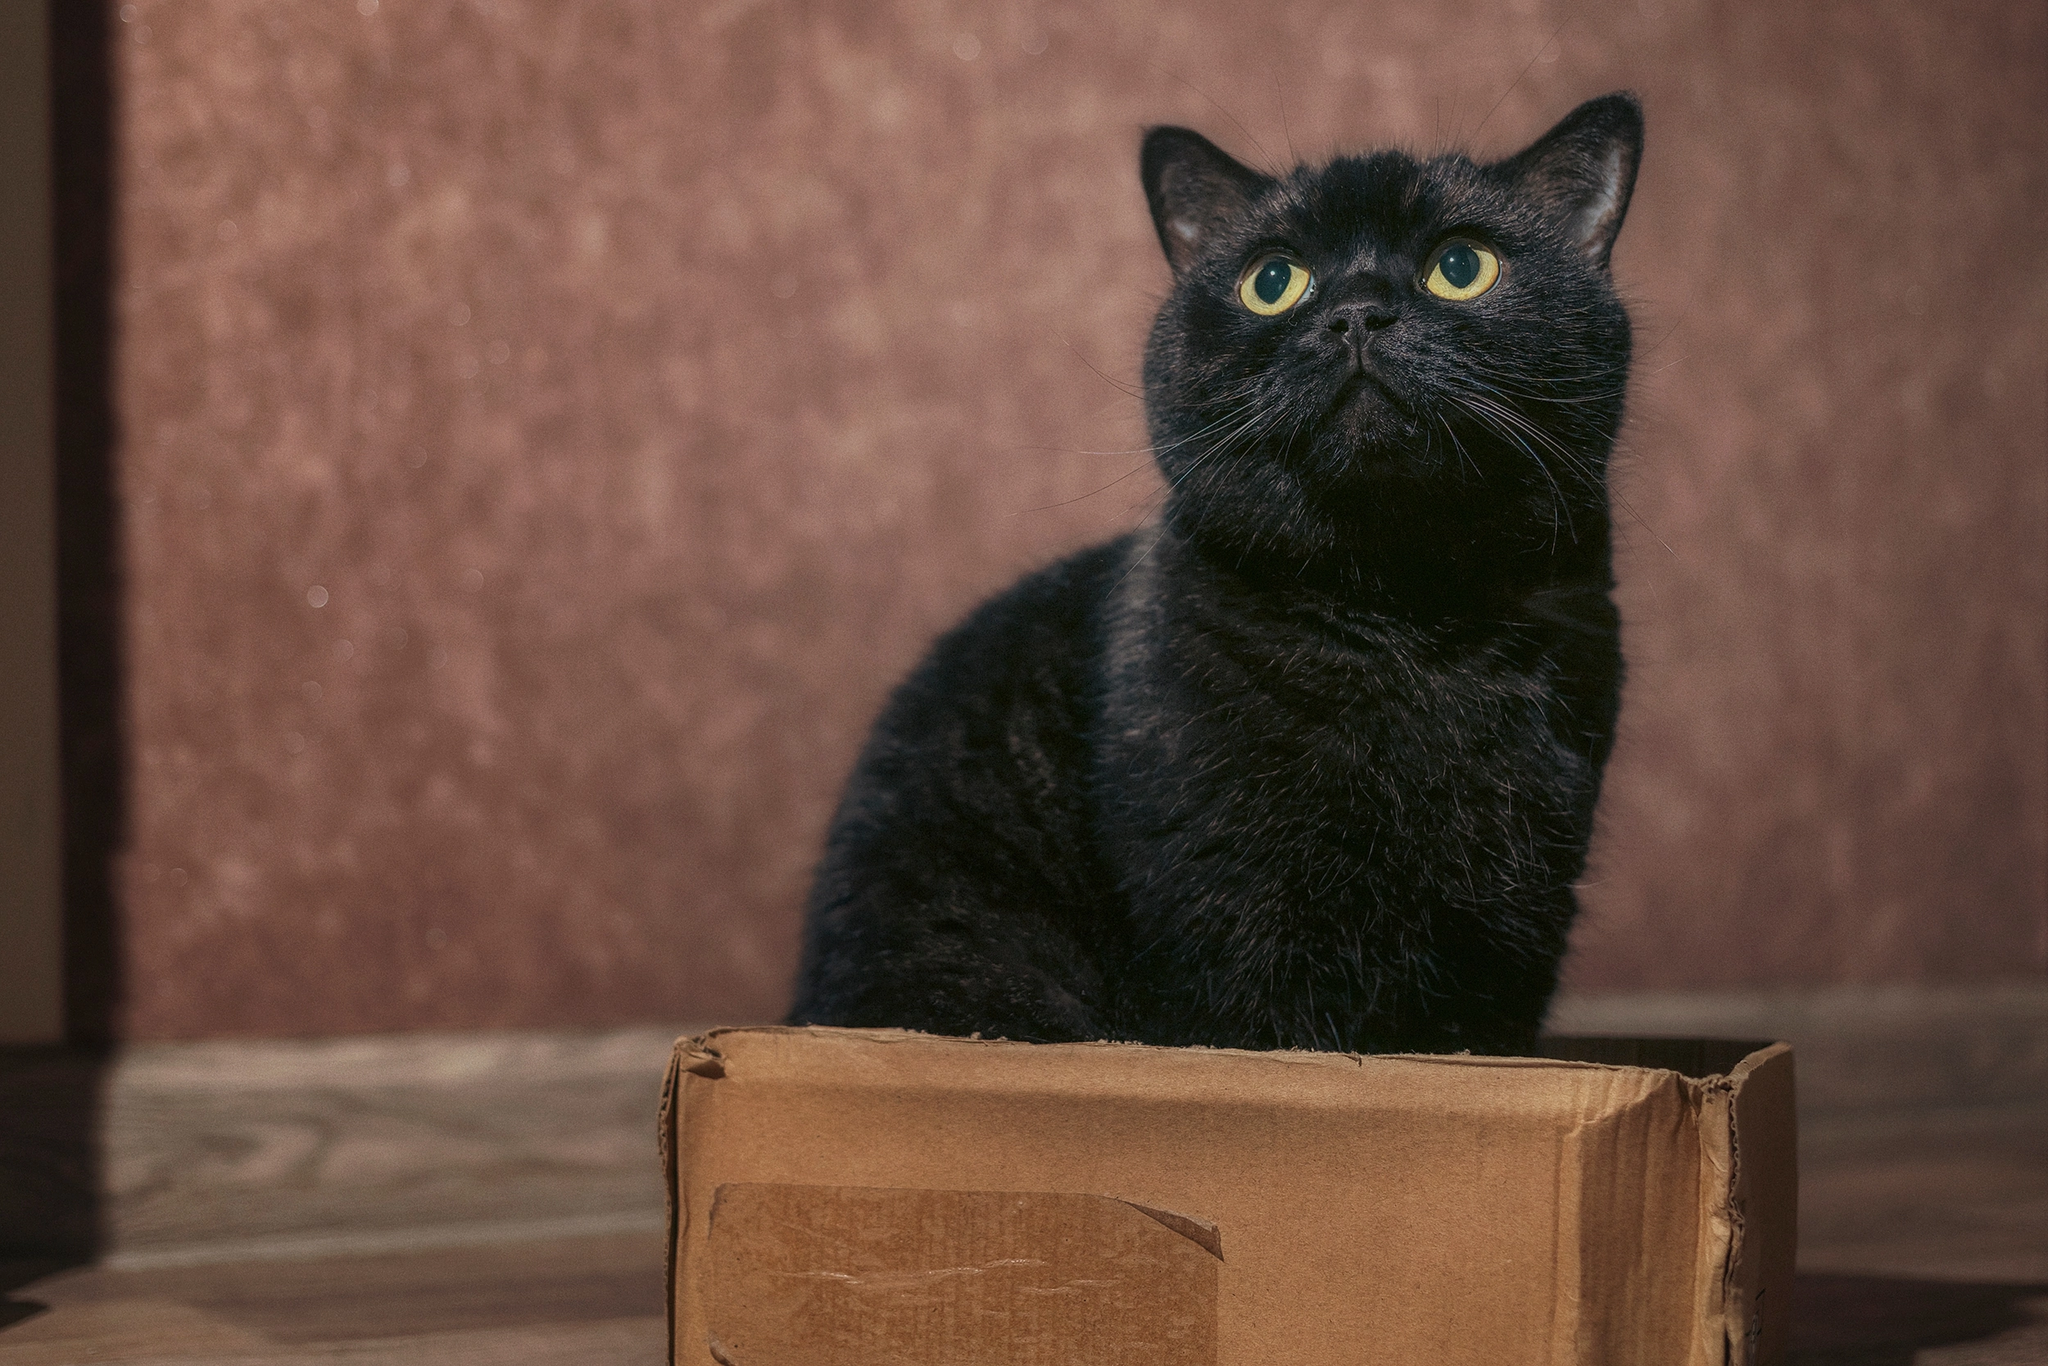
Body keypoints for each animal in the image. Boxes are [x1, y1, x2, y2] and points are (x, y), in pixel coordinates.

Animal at [786, 96, 1646, 1056]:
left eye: (1461, 266)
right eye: (1273, 280)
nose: (1357, 313)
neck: (1399, 618)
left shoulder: (1512, 926)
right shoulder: (1227, 914)